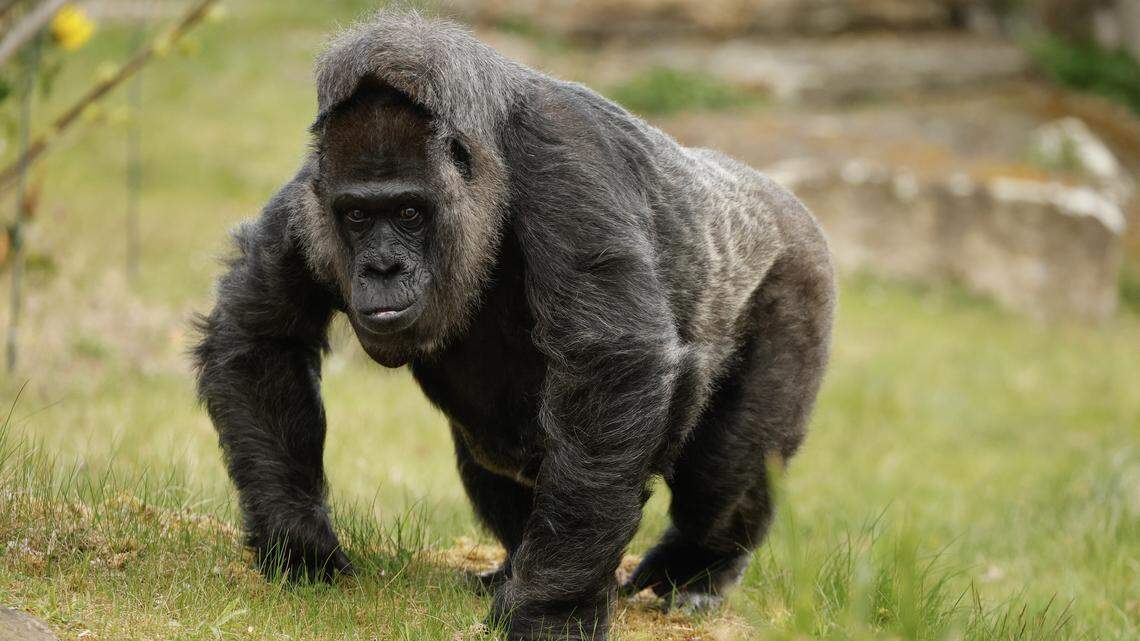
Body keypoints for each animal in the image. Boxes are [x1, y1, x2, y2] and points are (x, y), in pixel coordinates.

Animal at [193, 11, 835, 641]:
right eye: (356, 215)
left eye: (408, 212)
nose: (381, 268)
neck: (490, 149)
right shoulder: (310, 196)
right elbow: (261, 336)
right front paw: (299, 543)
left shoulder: (563, 160)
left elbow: (610, 367)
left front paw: (554, 613)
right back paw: (515, 563)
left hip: (798, 274)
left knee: (724, 469)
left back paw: (698, 571)